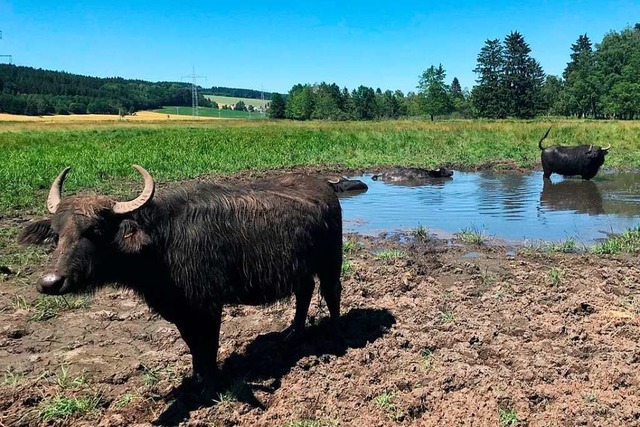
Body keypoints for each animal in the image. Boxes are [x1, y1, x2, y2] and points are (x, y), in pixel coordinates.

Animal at [18, 166, 344, 390]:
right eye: (56, 234)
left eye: (95, 231)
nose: (51, 282)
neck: (161, 244)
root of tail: (325, 187)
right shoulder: (178, 309)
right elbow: (192, 343)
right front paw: (197, 377)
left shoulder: (208, 305)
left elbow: (209, 343)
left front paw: (211, 381)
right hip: (301, 268)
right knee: (305, 292)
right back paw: (293, 333)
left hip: (331, 260)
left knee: (331, 293)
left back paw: (335, 332)